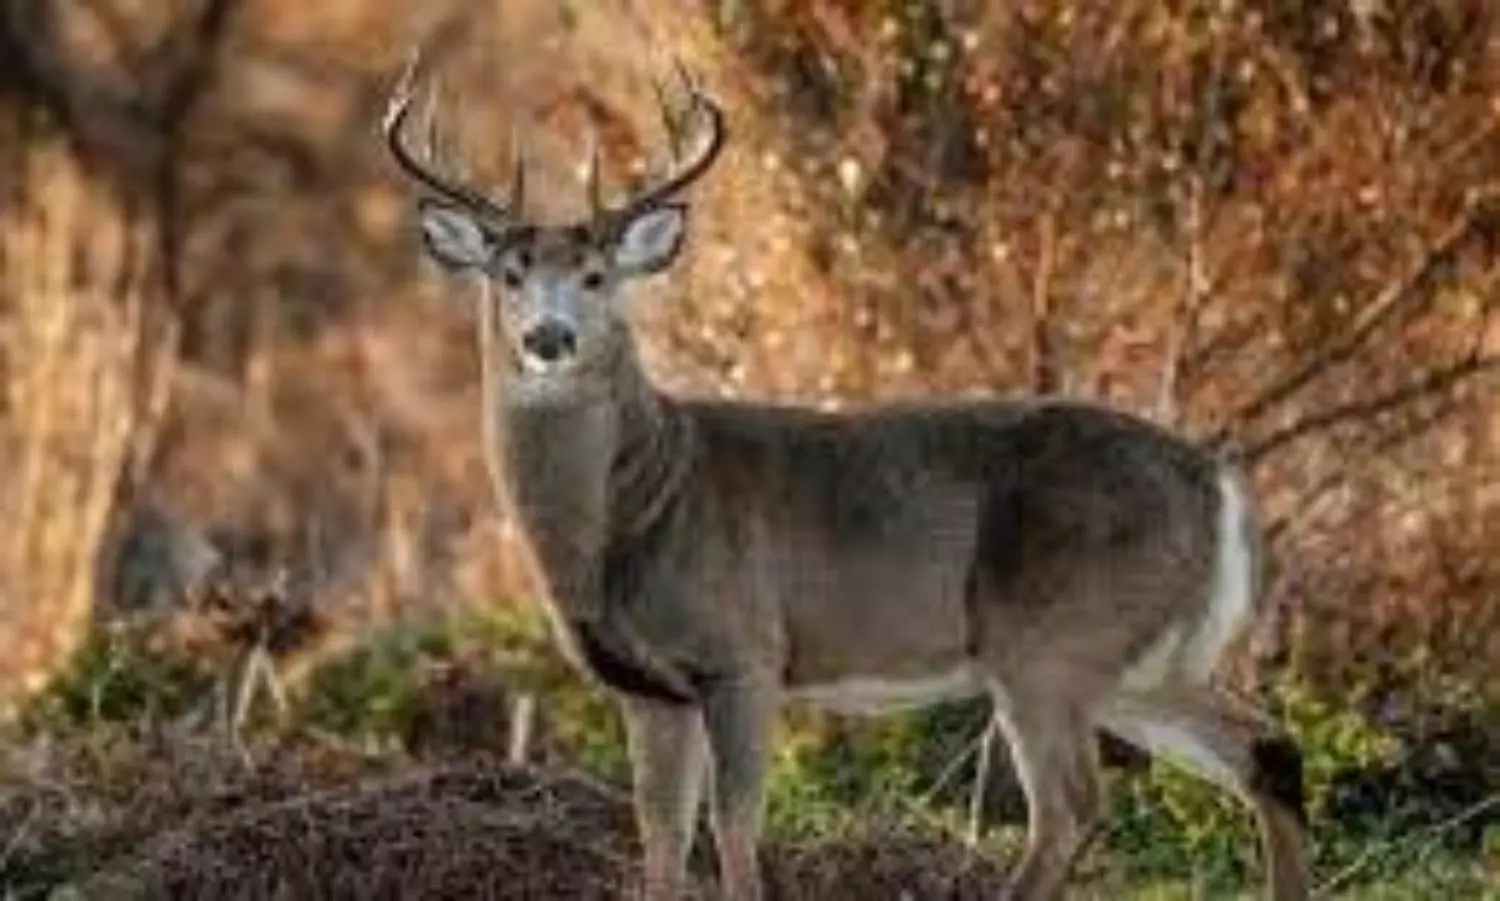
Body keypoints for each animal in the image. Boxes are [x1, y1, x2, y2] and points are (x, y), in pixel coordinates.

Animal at [381, 49, 1311, 901]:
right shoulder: (647, 688)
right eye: (508, 275)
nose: (549, 338)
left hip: (1054, 635)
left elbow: (734, 828)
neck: (636, 509)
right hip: (1142, 657)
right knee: (1267, 749)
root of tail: (1216, 479)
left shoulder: (743, 649)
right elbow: (660, 842)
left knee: (1074, 807)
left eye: (595, 275)